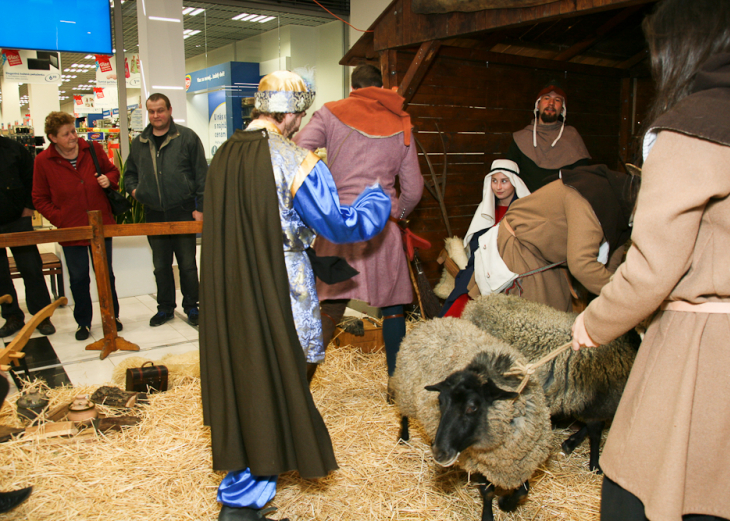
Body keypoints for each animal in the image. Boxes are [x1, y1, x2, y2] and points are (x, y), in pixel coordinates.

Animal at [390, 316, 548, 520]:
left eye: (472, 407)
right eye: (440, 401)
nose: (439, 453)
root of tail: (429, 322)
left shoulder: (521, 461)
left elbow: (524, 490)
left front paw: (506, 504)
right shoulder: (475, 459)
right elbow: (487, 491)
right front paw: (489, 514)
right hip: (405, 388)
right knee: (403, 412)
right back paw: (403, 436)